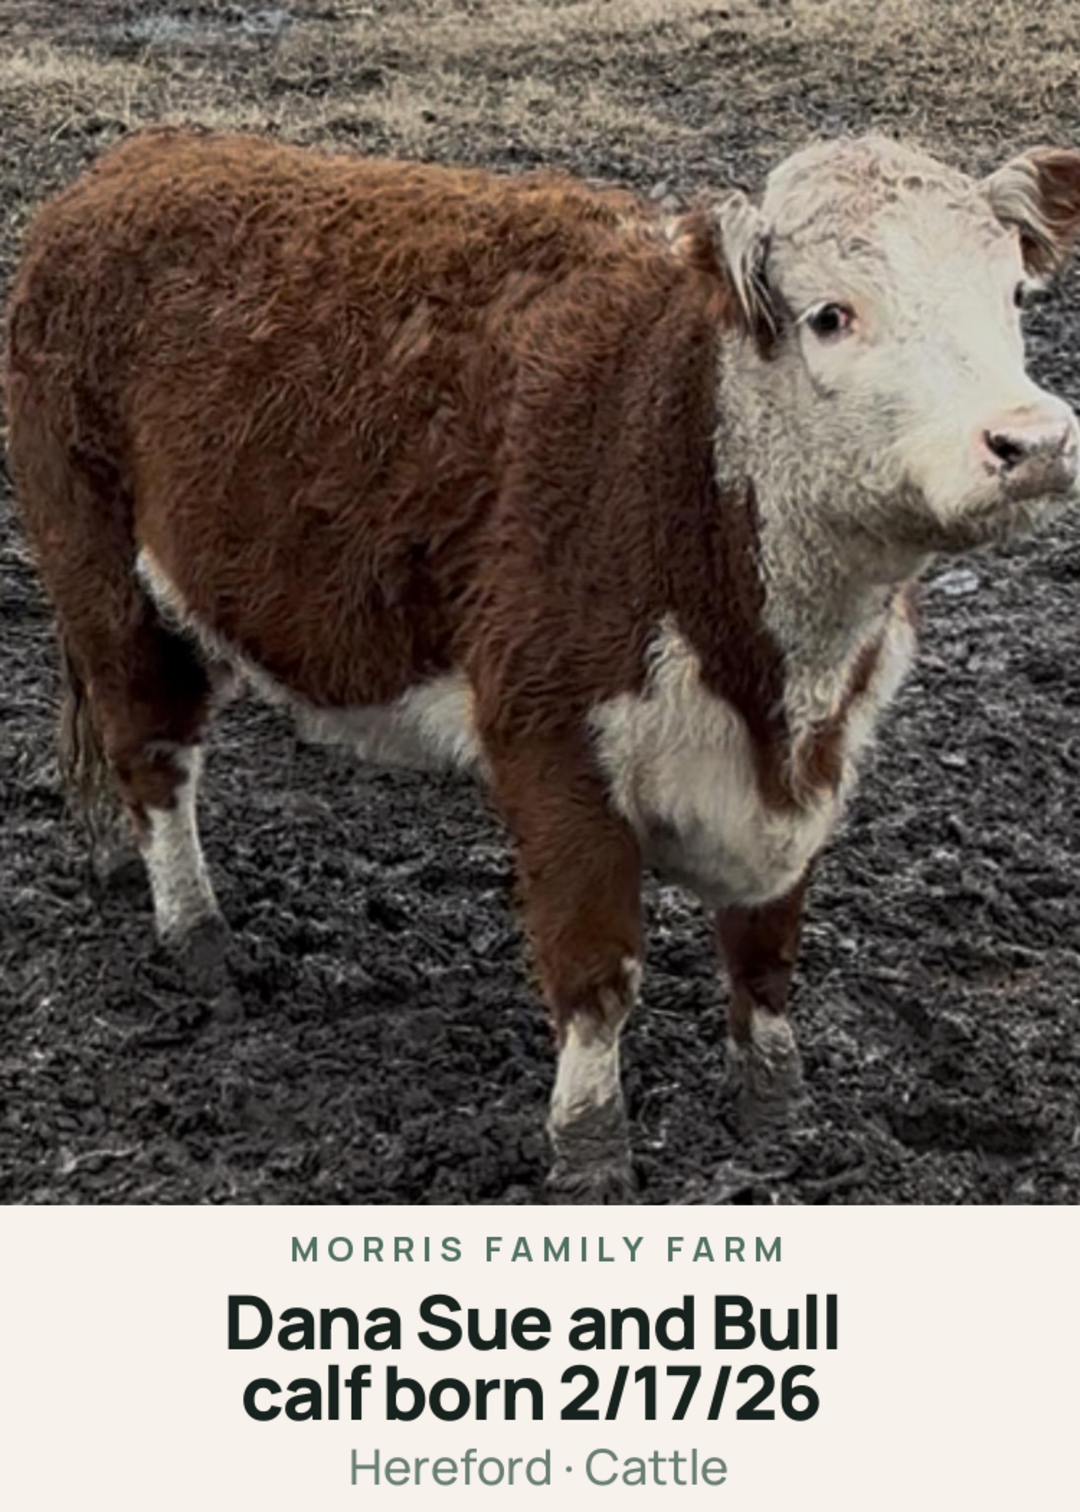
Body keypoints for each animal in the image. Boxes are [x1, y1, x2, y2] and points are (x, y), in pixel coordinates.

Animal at [5, 129, 1080, 1200]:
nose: (1032, 441)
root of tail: (137, 160)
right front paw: (591, 1148)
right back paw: (197, 935)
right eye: (831, 314)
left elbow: (766, 954)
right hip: (101, 572)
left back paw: (112, 857)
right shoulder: (551, 742)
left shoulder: (810, 765)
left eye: (1013, 295)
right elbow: (597, 974)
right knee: (153, 753)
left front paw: (777, 1111)